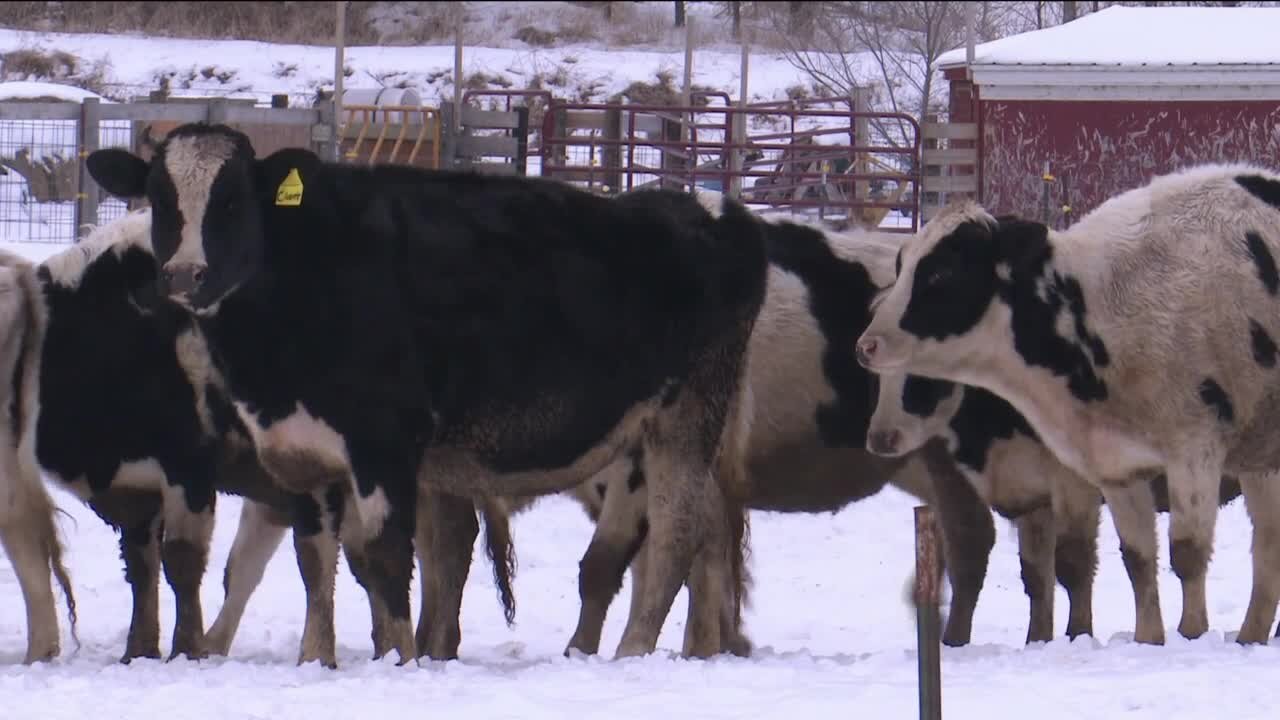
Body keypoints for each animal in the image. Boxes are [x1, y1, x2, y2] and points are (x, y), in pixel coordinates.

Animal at [90, 121, 773, 655]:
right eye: (159, 199)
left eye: (232, 201)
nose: (185, 275)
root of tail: (710, 211)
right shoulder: (305, 453)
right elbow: (316, 563)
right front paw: (317, 660)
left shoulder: (386, 445)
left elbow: (386, 557)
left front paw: (401, 659)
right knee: (704, 531)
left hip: (686, 414)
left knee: (679, 529)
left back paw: (633, 649)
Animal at [855, 163, 1280, 645]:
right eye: (903, 264)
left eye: (942, 274)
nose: (867, 344)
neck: (1094, 311)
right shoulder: (1115, 467)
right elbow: (1136, 559)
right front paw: (1148, 639)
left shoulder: (1193, 450)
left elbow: (1185, 554)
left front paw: (1191, 635)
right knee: (1269, 543)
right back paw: (1251, 634)